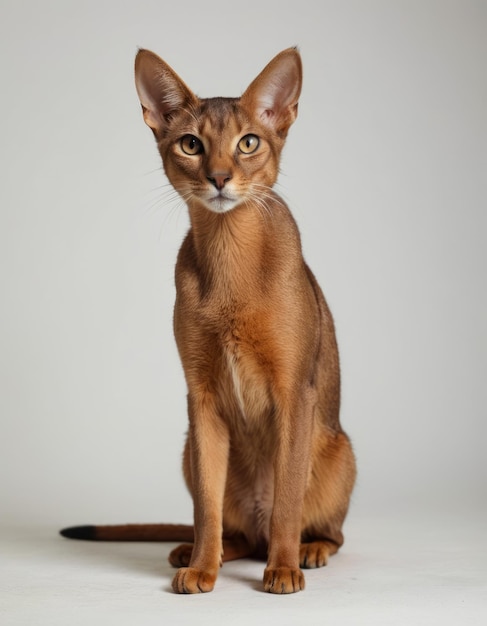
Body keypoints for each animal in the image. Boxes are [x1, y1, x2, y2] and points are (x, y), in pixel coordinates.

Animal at [62, 46, 358, 592]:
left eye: (248, 142)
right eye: (191, 144)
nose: (219, 178)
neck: (229, 259)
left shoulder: (295, 392)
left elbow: (288, 498)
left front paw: (282, 570)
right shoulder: (199, 396)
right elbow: (206, 503)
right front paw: (202, 567)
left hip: (337, 447)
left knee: (324, 529)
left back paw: (307, 550)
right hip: (188, 448)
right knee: (230, 525)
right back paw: (204, 552)